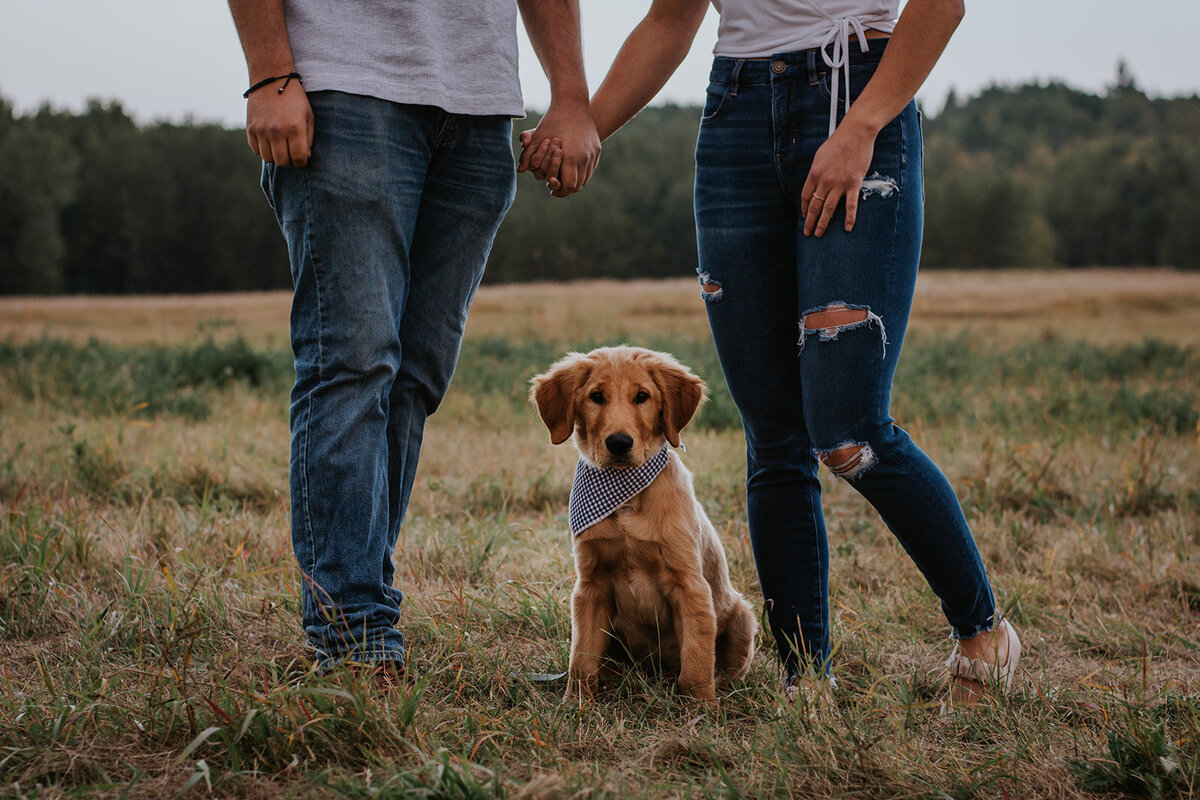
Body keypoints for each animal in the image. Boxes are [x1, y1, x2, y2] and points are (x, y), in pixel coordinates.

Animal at [530, 345, 753, 700]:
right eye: (596, 396)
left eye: (642, 397)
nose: (619, 443)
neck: (624, 496)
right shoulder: (590, 586)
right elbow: (581, 656)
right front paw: (575, 701)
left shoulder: (690, 585)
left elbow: (697, 657)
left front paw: (700, 704)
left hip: (743, 615)